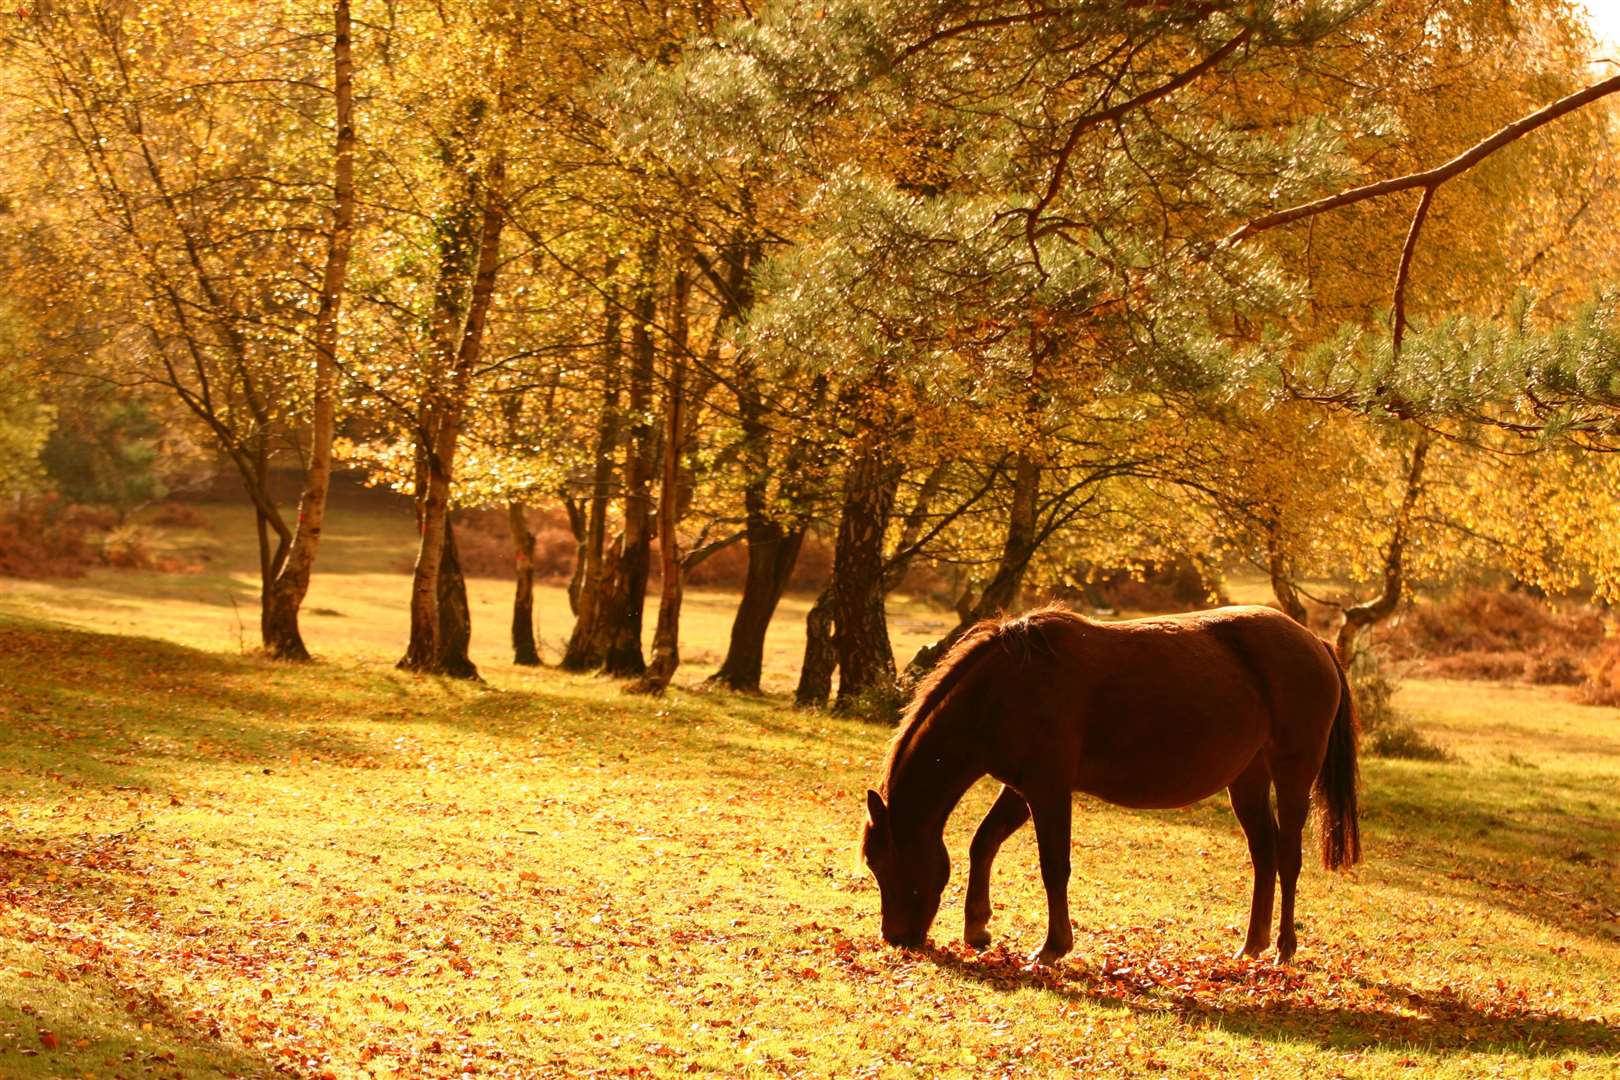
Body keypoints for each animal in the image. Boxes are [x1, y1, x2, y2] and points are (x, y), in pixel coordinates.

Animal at [861, 605, 1354, 965]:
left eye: (884, 861)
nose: (896, 938)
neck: (1006, 688)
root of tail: (1315, 642)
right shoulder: (1021, 789)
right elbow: (983, 843)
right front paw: (978, 928)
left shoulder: (1048, 789)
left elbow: (1053, 866)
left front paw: (1052, 948)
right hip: (1248, 780)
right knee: (1264, 856)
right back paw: (1252, 945)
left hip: (1293, 775)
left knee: (1288, 858)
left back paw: (1284, 949)